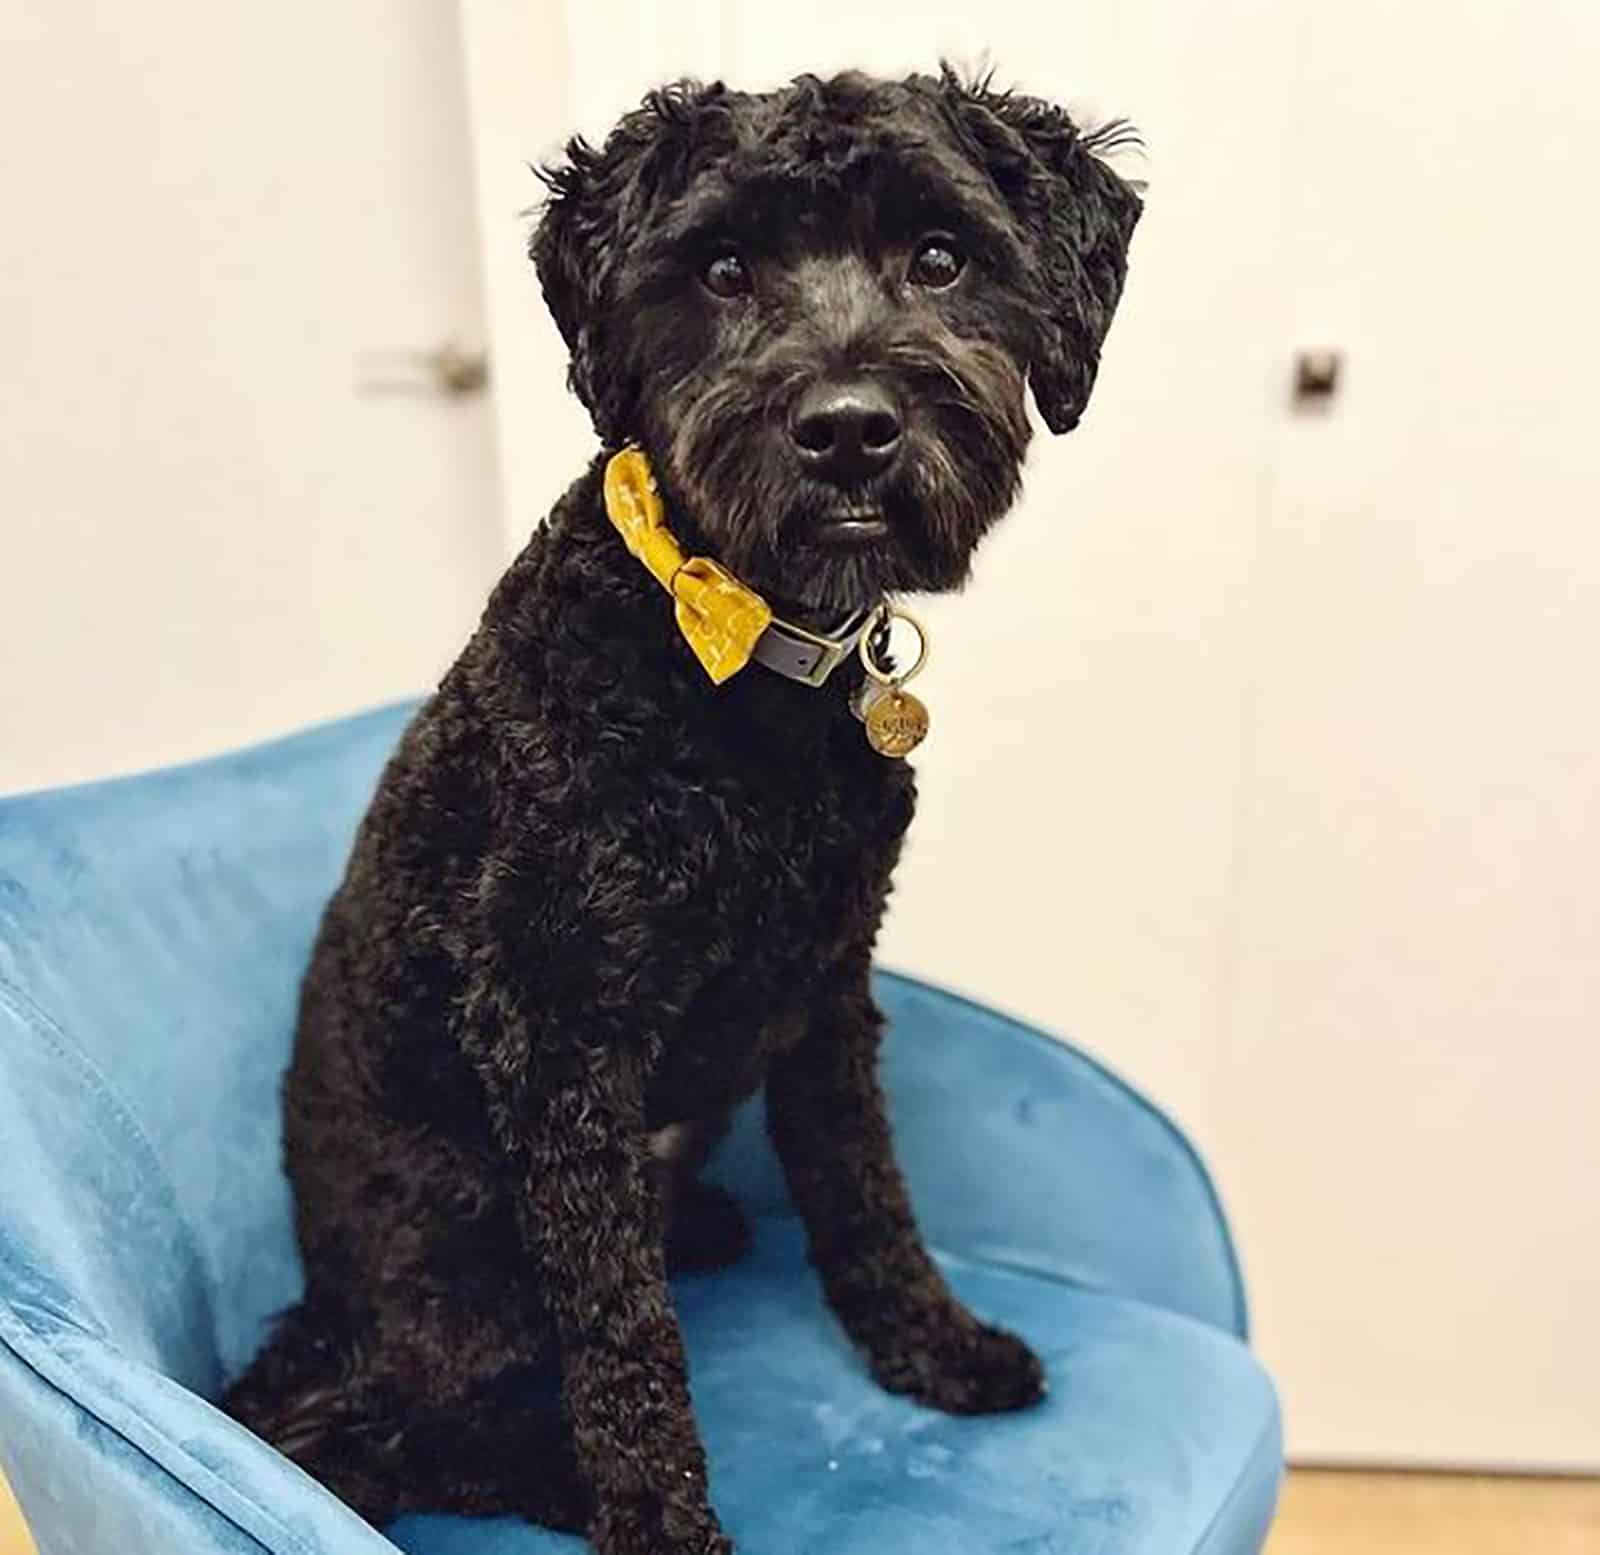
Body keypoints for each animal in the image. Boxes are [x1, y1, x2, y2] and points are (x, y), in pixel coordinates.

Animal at [228, 66, 1139, 1555]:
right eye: (720, 271)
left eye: (939, 256)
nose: (847, 427)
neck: (733, 668)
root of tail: (320, 1317)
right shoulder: (555, 1032)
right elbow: (623, 1342)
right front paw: (658, 1518)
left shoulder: (828, 977)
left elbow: (864, 1184)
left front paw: (934, 1345)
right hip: (455, 1250)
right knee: (408, 1433)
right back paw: (541, 1467)